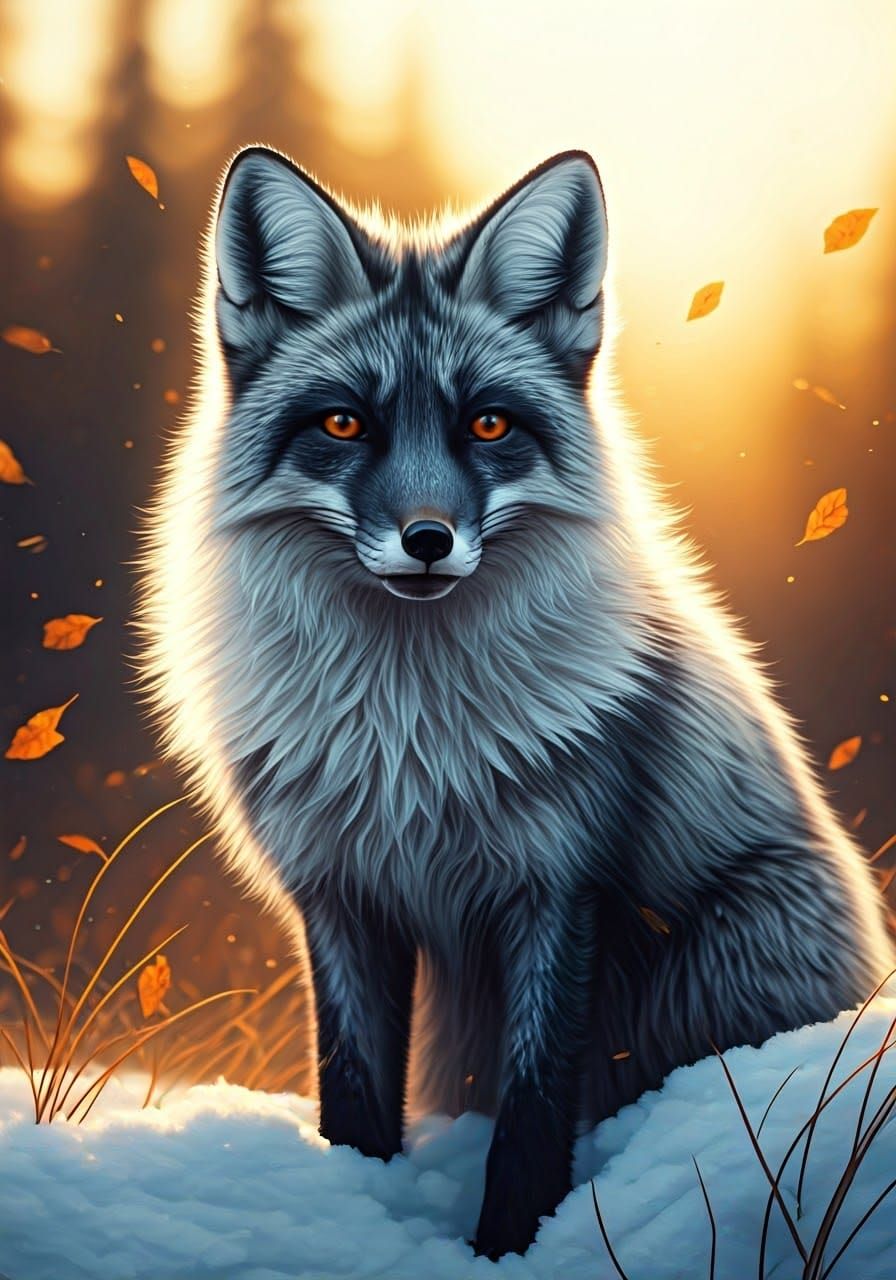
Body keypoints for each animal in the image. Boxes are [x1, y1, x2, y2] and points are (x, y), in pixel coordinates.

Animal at [137, 145, 893, 1261]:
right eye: (343, 423)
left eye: (486, 423)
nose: (427, 538)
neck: (407, 740)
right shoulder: (339, 897)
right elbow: (351, 1094)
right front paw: (356, 1217)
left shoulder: (558, 887)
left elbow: (533, 1111)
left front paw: (507, 1246)